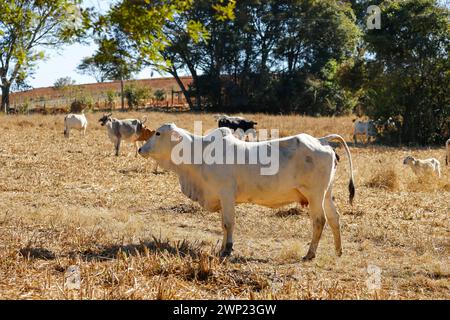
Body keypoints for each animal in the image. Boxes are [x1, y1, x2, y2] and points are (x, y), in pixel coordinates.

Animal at [138, 124, 356, 262]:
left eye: (158, 134)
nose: (140, 149)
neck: (199, 154)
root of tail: (321, 141)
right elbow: (223, 225)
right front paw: (223, 247)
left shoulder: (226, 194)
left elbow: (228, 223)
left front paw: (227, 249)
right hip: (326, 194)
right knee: (334, 218)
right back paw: (338, 250)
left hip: (315, 196)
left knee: (319, 221)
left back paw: (310, 253)